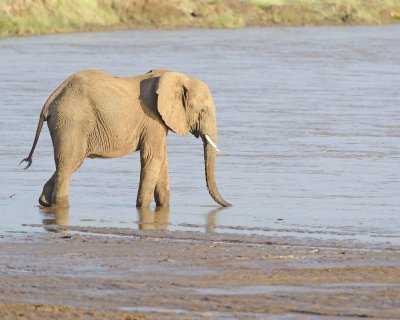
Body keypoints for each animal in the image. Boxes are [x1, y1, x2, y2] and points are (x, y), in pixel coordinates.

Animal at [21, 68, 231, 208]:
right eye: (203, 110)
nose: (230, 204)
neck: (176, 76)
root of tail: (52, 98)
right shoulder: (152, 120)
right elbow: (152, 157)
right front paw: (142, 208)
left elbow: (162, 159)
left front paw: (162, 208)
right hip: (71, 122)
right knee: (69, 164)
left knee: (70, 163)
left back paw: (45, 202)